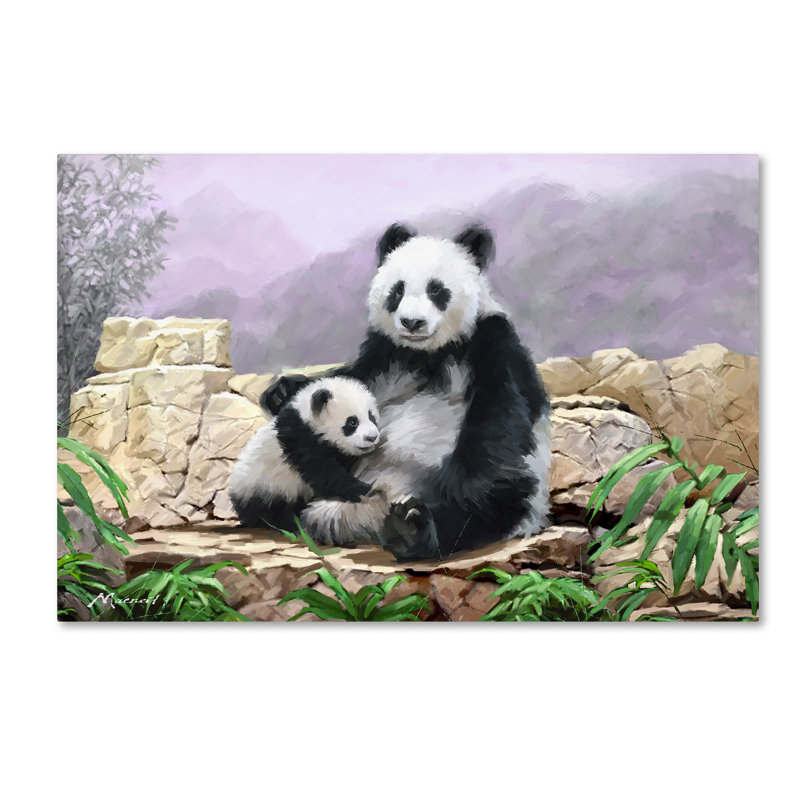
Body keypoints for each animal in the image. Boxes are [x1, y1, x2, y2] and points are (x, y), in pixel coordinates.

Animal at [229, 376, 384, 535]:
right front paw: (361, 489)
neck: (306, 416)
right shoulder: (300, 439)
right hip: (264, 485)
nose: (372, 437)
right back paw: (288, 525)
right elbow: (322, 471)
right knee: (270, 508)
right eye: (352, 422)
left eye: (371, 417)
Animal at [263, 223, 551, 561]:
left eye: (436, 290)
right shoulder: (387, 354)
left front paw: (450, 491)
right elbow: (352, 380)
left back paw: (412, 527)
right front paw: (283, 391)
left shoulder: (492, 342)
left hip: (522, 483)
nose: (412, 322)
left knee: (499, 496)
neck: (428, 353)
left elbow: (496, 421)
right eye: (397, 290)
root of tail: (364, 518)